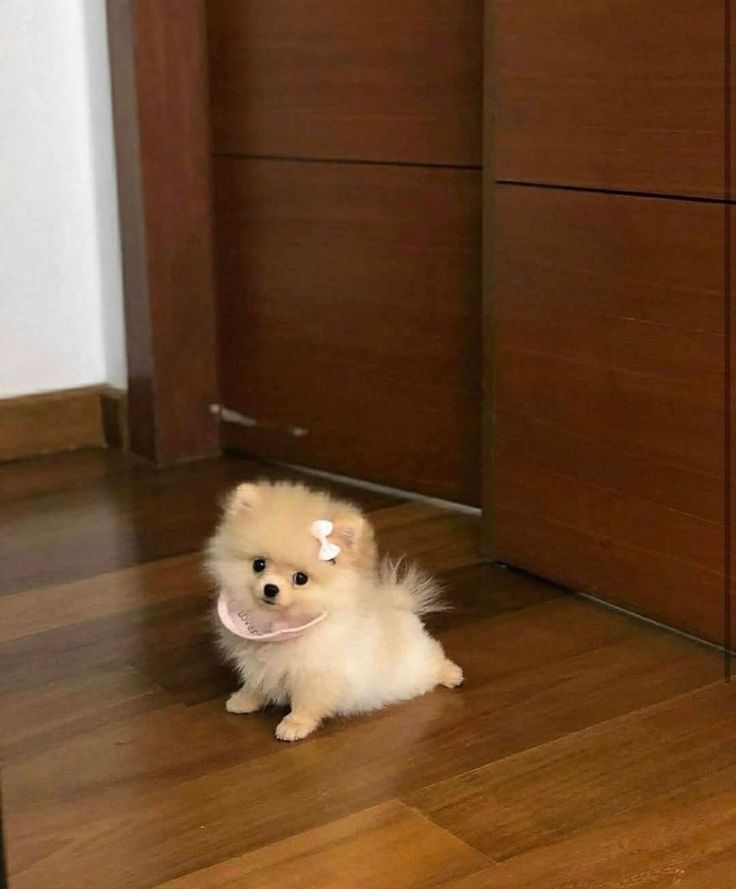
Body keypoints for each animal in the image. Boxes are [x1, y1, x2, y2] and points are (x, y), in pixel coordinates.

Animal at [204, 482, 462, 740]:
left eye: (300, 578)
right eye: (259, 564)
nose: (270, 588)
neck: (278, 626)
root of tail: (401, 607)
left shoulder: (315, 674)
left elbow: (306, 702)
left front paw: (294, 725)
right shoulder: (257, 663)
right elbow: (255, 684)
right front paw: (243, 700)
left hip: (413, 667)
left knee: (434, 661)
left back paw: (452, 674)